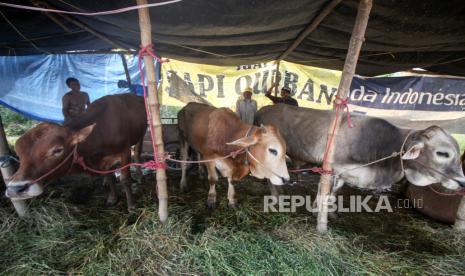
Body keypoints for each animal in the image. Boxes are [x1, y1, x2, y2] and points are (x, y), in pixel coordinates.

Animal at [4, 94, 146, 210]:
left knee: (137, 153)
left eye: (58, 150)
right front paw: (112, 198)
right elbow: (109, 177)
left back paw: (139, 177)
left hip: (142, 133)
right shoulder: (103, 161)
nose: (15, 189)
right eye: (18, 153)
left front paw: (131, 205)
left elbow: (125, 180)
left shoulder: (124, 151)